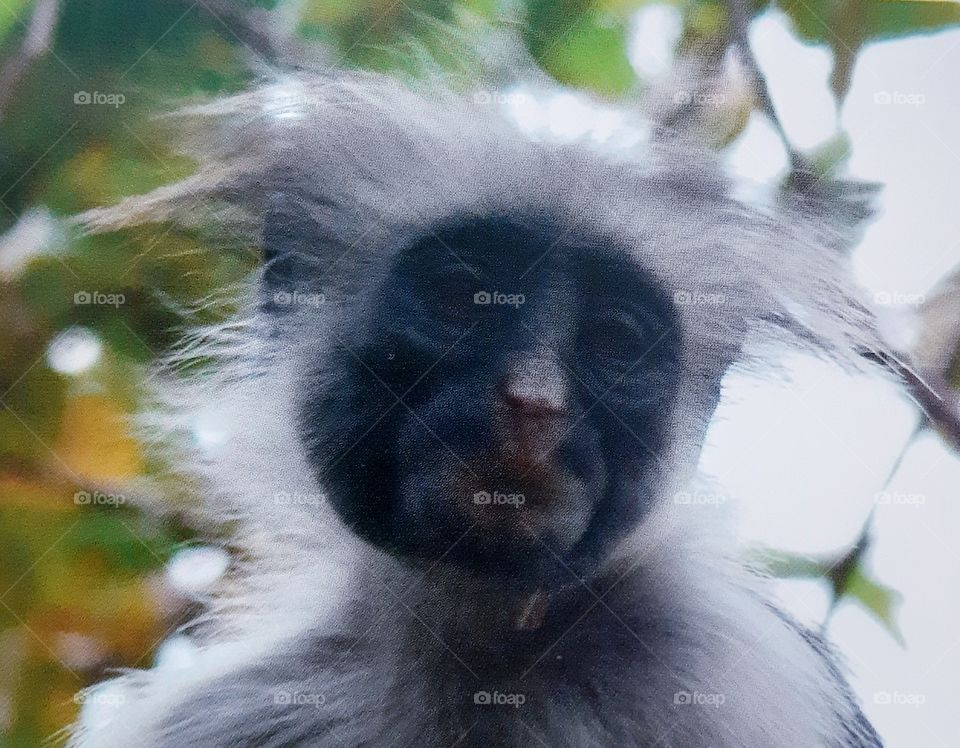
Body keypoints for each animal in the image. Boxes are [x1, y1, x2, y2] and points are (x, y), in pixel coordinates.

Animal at [68, 73, 886, 747]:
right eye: (462, 297)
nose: (533, 401)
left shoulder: (733, 666)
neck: (484, 651)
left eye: (614, 340)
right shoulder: (225, 708)